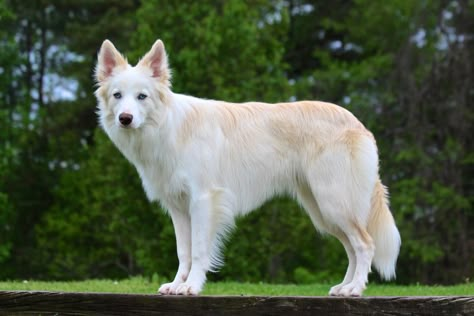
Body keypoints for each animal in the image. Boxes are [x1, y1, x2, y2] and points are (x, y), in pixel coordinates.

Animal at [95, 39, 400, 296]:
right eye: (118, 95)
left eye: (142, 97)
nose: (125, 119)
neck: (168, 127)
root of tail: (357, 124)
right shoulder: (178, 208)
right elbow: (184, 251)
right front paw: (176, 284)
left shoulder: (203, 200)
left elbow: (199, 251)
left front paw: (191, 286)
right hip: (323, 210)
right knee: (352, 248)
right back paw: (343, 287)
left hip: (334, 202)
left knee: (365, 244)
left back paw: (355, 289)